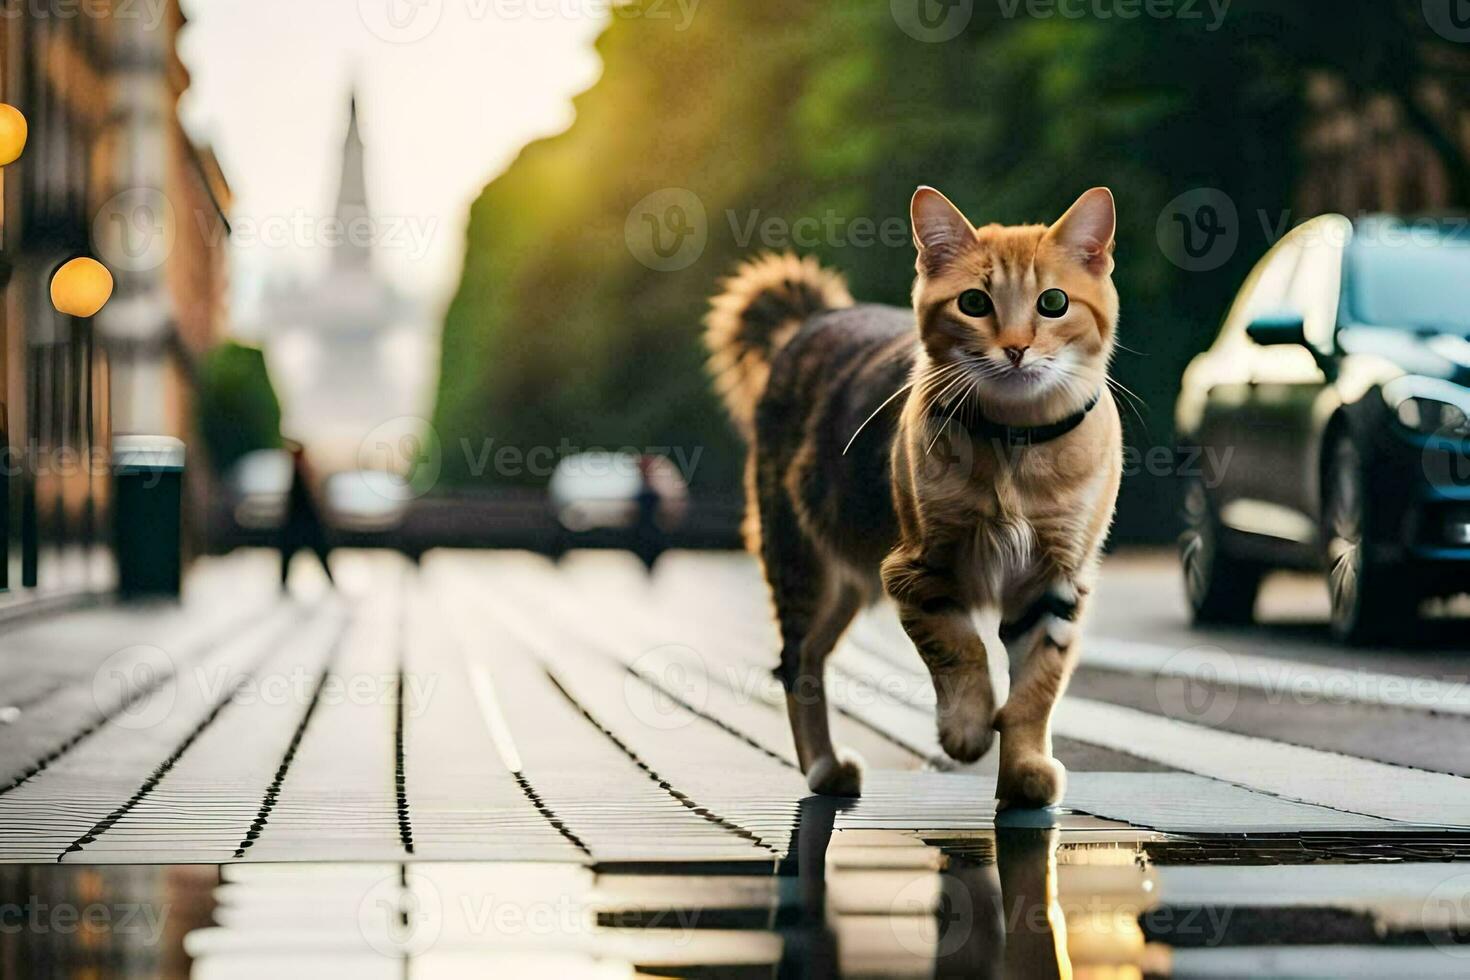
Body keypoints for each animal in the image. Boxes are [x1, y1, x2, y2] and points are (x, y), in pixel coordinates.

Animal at [705, 188, 1117, 811]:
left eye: (1053, 303)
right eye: (974, 302)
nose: (1016, 349)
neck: (1014, 440)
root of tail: (818, 319)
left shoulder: (1057, 584)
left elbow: (1036, 688)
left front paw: (1023, 770)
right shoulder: (918, 571)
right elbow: (960, 649)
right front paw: (966, 731)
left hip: (845, 584)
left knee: (811, 655)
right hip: (800, 562)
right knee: (795, 663)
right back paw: (823, 767)